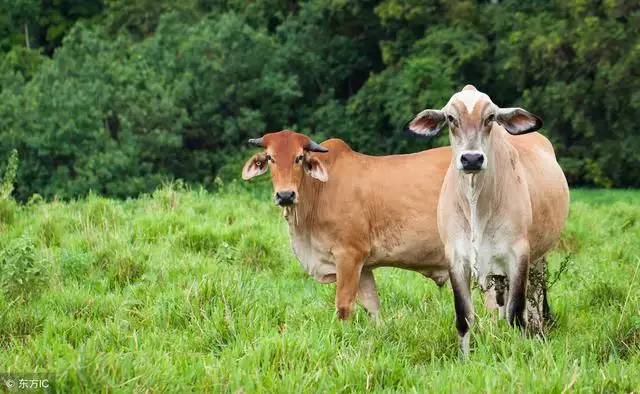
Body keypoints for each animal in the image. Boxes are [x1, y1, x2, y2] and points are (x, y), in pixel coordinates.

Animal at [242, 131, 452, 322]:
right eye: (270, 158)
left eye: (299, 157)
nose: (285, 195)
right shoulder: (364, 265)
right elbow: (372, 306)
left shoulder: (349, 255)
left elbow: (343, 307)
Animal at [404, 84, 568, 356]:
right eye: (451, 118)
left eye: (490, 117)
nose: (472, 158)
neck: (475, 205)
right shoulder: (456, 258)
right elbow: (464, 316)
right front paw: (464, 358)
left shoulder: (519, 254)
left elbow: (517, 314)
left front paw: (519, 354)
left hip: (539, 258)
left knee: (535, 300)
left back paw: (539, 333)